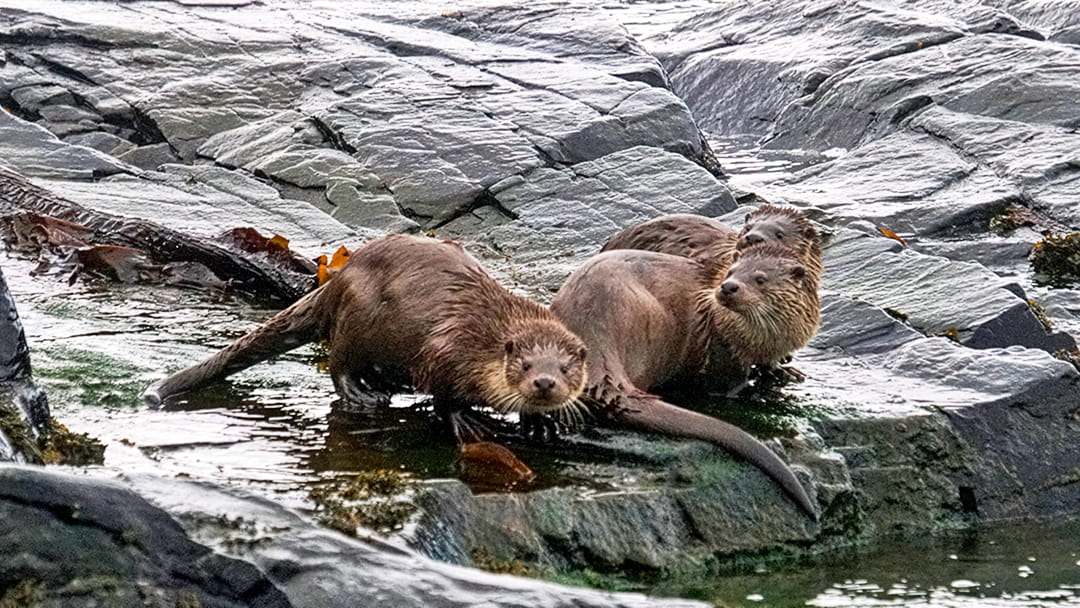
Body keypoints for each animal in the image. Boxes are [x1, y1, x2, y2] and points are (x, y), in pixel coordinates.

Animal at [143, 234, 589, 437]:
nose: (544, 383)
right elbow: (443, 397)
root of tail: (337, 282)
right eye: (525, 365)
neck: (485, 337)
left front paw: (540, 423)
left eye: (565, 369)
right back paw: (363, 394)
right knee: (339, 362)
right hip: (357, 320)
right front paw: (467, 421)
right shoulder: (444, 350)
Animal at [550, 245, 820, 518]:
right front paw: (749, 390)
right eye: (730, 273)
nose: (728, 287)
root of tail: (593, 335)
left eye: (760, 279)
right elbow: (728, 382)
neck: (765, 341)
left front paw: (784, 372)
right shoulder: (724, 350)